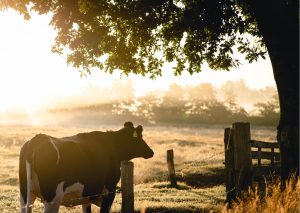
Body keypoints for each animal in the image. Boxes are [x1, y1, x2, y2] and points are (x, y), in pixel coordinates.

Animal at [19, 122, 155, 212]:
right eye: (139, 138)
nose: (151, 152)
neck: (112, 146)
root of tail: (38, 138)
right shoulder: (109, 191)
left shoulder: (87, 195)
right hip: (52, 199)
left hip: (25, 195)